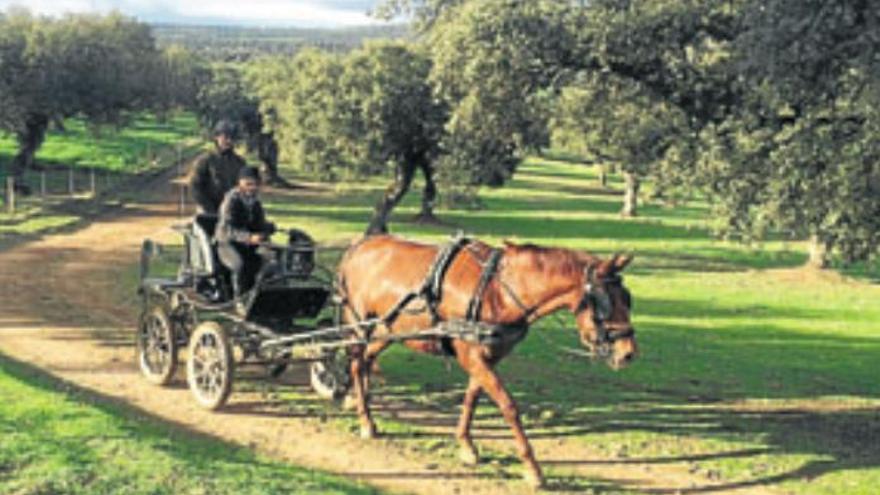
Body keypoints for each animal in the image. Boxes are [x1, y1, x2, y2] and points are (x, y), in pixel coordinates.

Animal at [338, 236, 640, 488]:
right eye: (605, 304)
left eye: (627, 299)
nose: (628, 353)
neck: (497, 290)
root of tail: (358, 246)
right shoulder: (473, 357)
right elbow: (509, 406)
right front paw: (532, 468)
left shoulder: (485, 358)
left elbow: (472, 397)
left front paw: (466, 445)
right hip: (360, 324)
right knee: (356, 362)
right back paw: (365, 419)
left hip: (387, 328)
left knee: (366, 360)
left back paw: (362, 404)